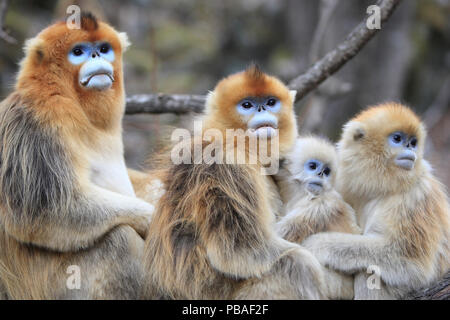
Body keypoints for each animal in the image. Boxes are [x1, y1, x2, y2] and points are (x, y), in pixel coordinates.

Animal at [0, 13, 153, 300]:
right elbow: (49, 210)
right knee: (119, 240)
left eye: (103, 48)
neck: (67, 96)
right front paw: (155, 218)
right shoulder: (36, 123)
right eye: (78, 52)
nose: (95, 56)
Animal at [142, 65, 326, 300]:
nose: (261, 109)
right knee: (295, 265)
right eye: (247, 105)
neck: (238, 142)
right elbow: (237, 253)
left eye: (271, 102)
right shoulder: (226, 165)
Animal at [302, 103, 450, 300]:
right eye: (397, 138)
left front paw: (316, 245)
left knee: (370, 271)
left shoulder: (416, 195)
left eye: (413, 142)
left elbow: (411, 262)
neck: (379, 187)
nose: (411, 149)